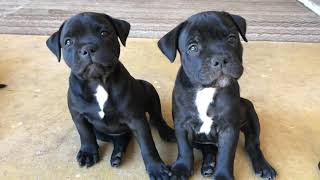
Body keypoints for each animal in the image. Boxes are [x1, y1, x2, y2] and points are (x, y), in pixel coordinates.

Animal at [158, 11, 278, 180]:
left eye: (232, 38)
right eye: (193, 48)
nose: (220, 58)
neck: (206, 90)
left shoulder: (228, 129)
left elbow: (225, 156)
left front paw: (222, 176)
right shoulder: (182, 125)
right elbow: (184, 149)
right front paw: (180, 169)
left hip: (249, 111)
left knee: (252, 144)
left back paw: (263, 166)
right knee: (208, 148)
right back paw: (208, 164)